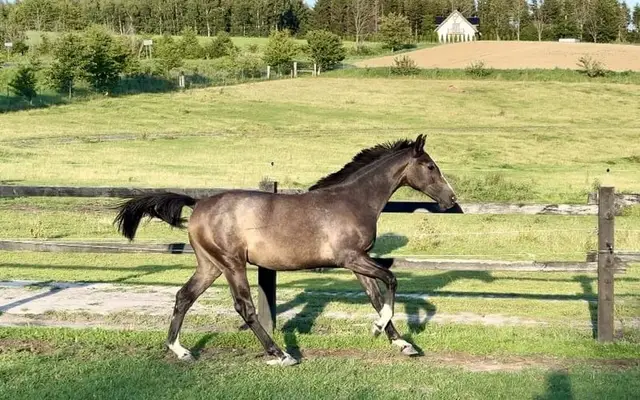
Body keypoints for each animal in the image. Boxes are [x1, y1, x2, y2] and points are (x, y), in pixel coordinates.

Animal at [113, 134, 458, 366]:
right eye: (430, 166)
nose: (451, 199)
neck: (352, 201)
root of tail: (198, 204)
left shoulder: (356, 261)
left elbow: (375, 296)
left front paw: (402, 344)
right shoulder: (351, 257)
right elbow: (391, 280)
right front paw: (381, 329)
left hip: (210, 265)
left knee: (184, 296)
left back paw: (180, 350)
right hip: (232, 263)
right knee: (244, 307)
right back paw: (281, 354)